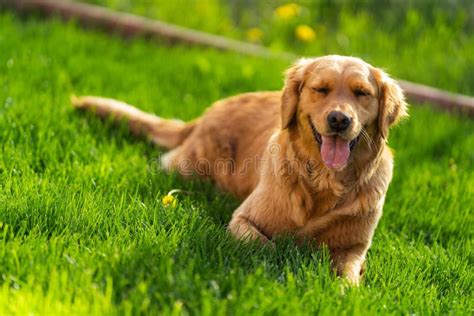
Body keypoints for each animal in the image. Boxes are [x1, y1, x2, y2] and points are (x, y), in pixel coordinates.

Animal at [71, 54, 408, 284]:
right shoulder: (242, 219)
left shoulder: (354, 247)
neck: (325, 183)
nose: (339, 119)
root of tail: (207, 112)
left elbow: (348, 276)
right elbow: (267, 246)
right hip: (192, 167)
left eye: (362, 93)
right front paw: (285, 265)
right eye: (320, 89)